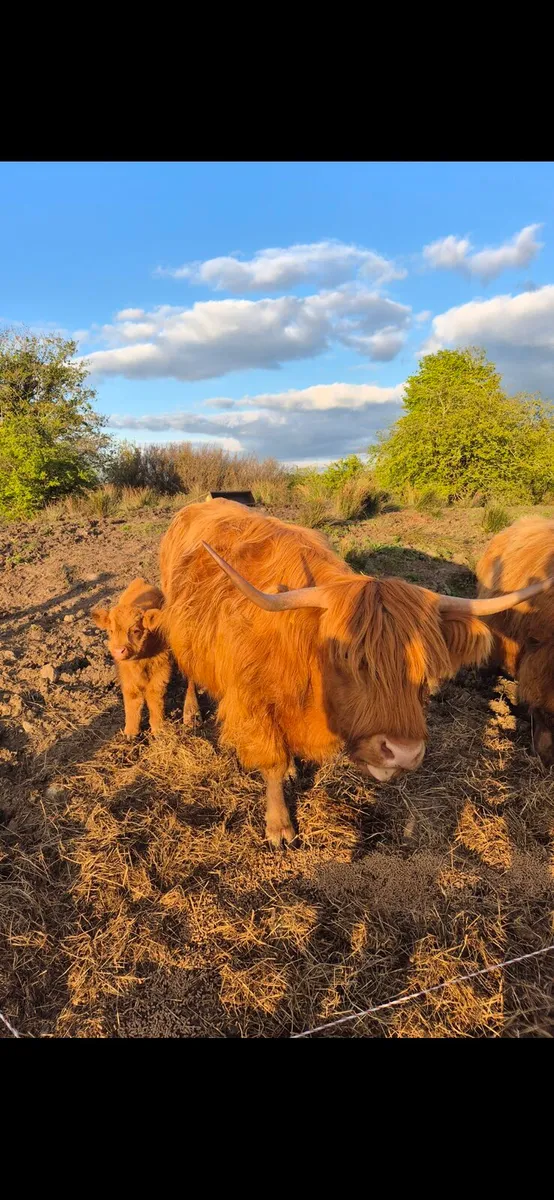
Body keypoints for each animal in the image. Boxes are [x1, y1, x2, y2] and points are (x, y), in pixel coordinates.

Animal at [92, 578, 171, 739]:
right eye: (111, 631)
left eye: (135, 630)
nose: (118, 651)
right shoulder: (126, 675)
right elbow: (132, 699)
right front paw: (130, 733)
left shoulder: (161, 670)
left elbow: (155, 698)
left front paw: (158, 730)